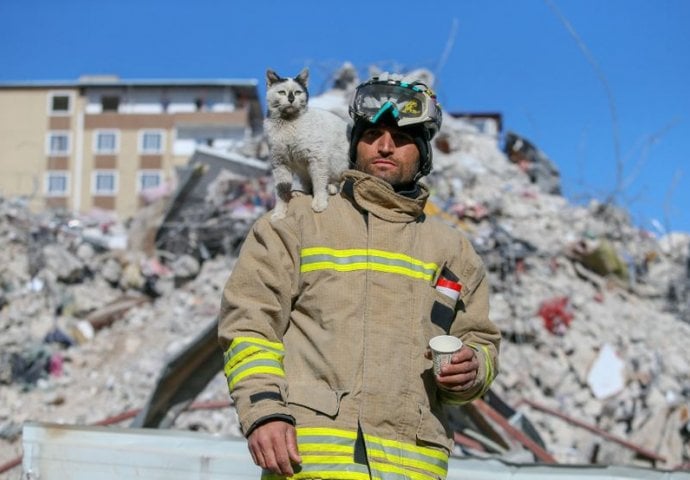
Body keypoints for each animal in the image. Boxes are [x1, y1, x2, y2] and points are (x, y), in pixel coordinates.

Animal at [264, 68, 350, 221]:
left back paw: (331, 188)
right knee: (307, 186)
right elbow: (281, 192)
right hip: (302, 171)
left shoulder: (317, 158)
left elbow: (319, 183)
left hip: (336, 163)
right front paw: (279, 213)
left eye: (298, 92)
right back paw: (299, 192)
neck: (288, 124)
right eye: (282, 92)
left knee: (337, 181)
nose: (291, 99)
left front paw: (319, 203)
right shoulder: (279, 164)